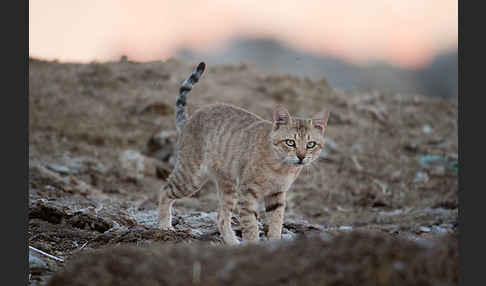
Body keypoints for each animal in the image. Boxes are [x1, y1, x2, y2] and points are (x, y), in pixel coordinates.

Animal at [159, 61, 330, 245]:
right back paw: (164, 225)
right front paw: (253, 243)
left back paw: (232, 243)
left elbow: (276, 222)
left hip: (229, 186)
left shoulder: (277, 195)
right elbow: (250, 225)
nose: (301, 156)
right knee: (165, 190)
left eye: (311, 144)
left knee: (221, 217)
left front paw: (275, 243)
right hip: (191, 177)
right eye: (290, 142)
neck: (282, 168)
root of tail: (189, 120)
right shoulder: (248, 192)